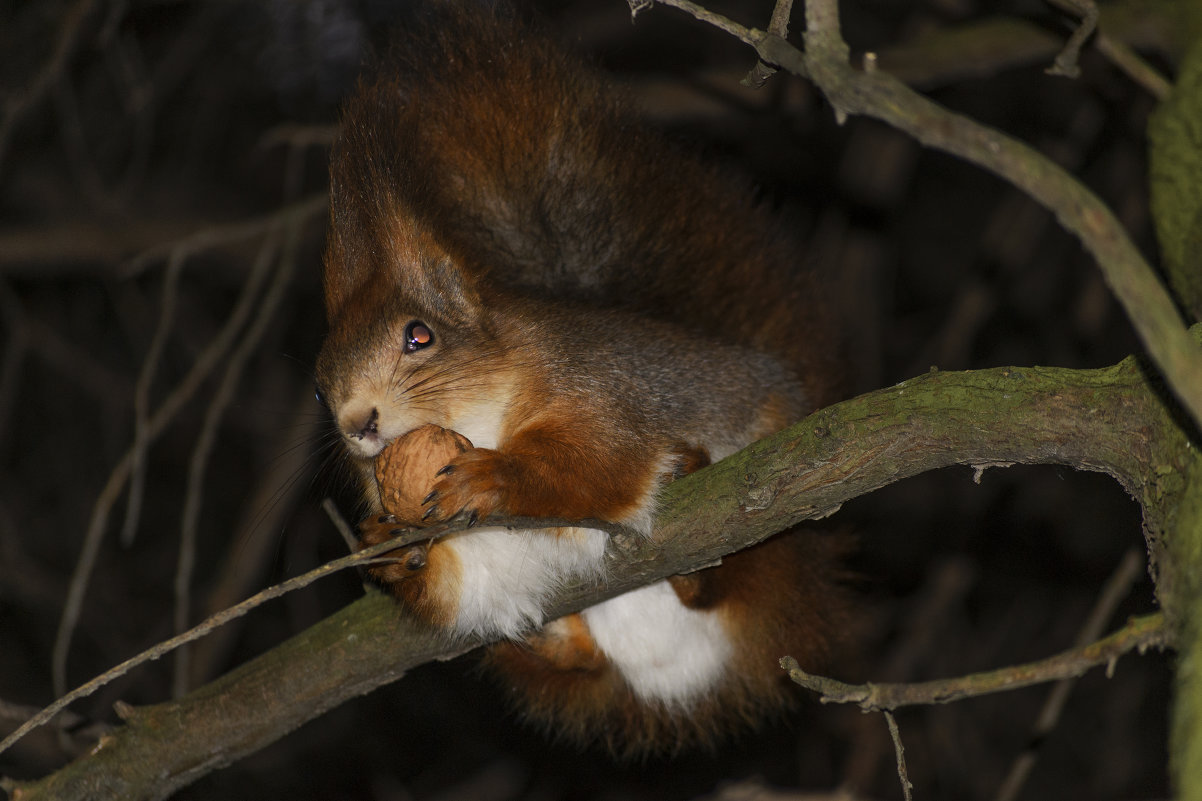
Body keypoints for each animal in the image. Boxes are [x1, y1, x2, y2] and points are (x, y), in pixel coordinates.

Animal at [314, 3, 851, 750]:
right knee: (584, 663)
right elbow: (456, 589)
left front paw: (495, 474)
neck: (481, 410)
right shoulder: (480, 566)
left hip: (775, 524)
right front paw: (389, 549)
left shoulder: (601, 386)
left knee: (741, 571)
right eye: (317, 385)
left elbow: (597, 458)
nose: (357, 422)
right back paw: (552, 644)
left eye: (419, 336)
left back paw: (700, 542)